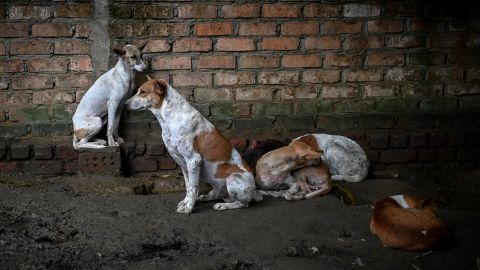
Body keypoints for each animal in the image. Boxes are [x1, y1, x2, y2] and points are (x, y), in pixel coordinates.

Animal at [124, 75, 258, 213]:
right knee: (217, 195)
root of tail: (255, 192)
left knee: (242, 204)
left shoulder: (193, 160)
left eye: (143, 92)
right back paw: (205, 197)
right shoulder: (183, 164)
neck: (172, 118)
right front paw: (186, 202)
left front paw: (188, 208)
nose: (124, 104)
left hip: (233, 178)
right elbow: (189, 187)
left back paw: (222, 206)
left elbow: (193, 187)